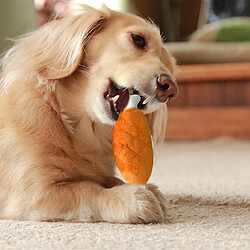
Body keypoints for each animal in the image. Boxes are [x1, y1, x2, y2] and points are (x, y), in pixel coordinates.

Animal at [0, 3, 178, 223]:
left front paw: (142, 187)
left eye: (171, 68)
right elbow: (87, 189)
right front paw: (130, 199)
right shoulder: (35, 192)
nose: (170, 89)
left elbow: (107, 178)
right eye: (138, 39)